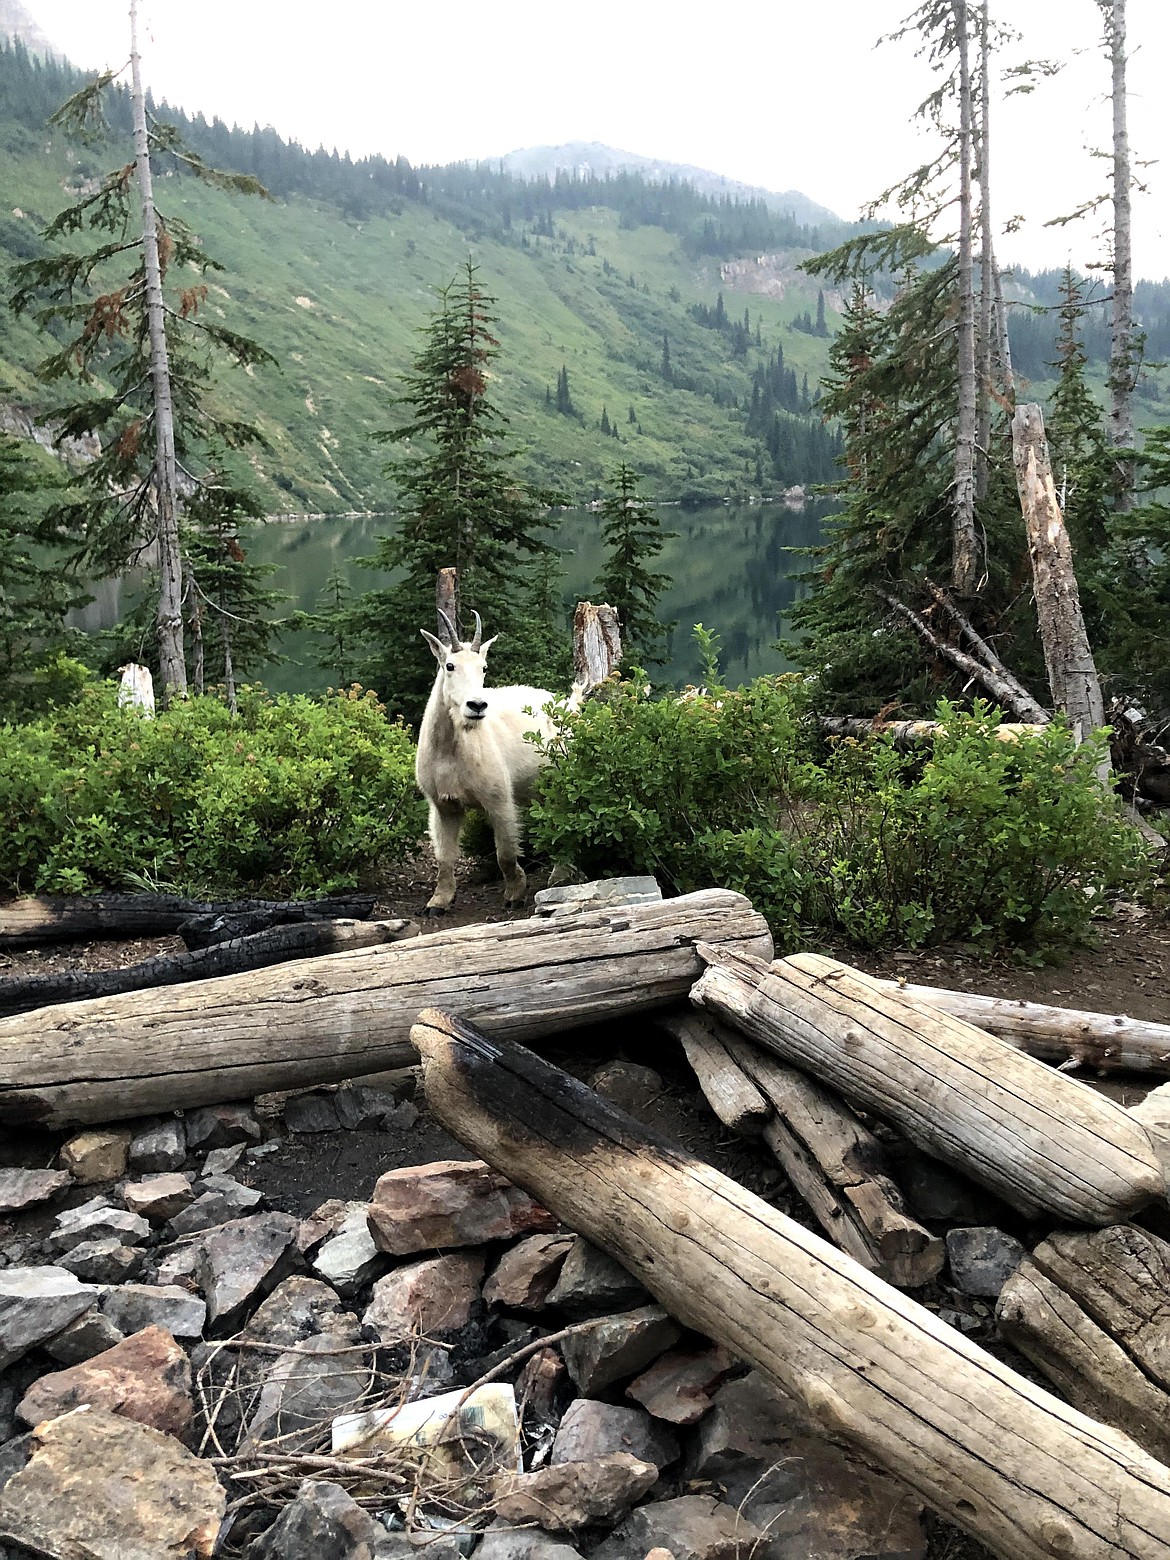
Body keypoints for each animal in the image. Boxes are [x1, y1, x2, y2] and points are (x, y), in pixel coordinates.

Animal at [418, 608, 586, 911]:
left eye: (484, 668)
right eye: (449, 666)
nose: (477, 705)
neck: (451, 749)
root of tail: (572, 705)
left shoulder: (499, 799)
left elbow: (505, 852)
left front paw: (515, 895)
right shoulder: (443, 805)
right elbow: (444, 857)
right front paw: (437, 902)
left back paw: (560, 875)